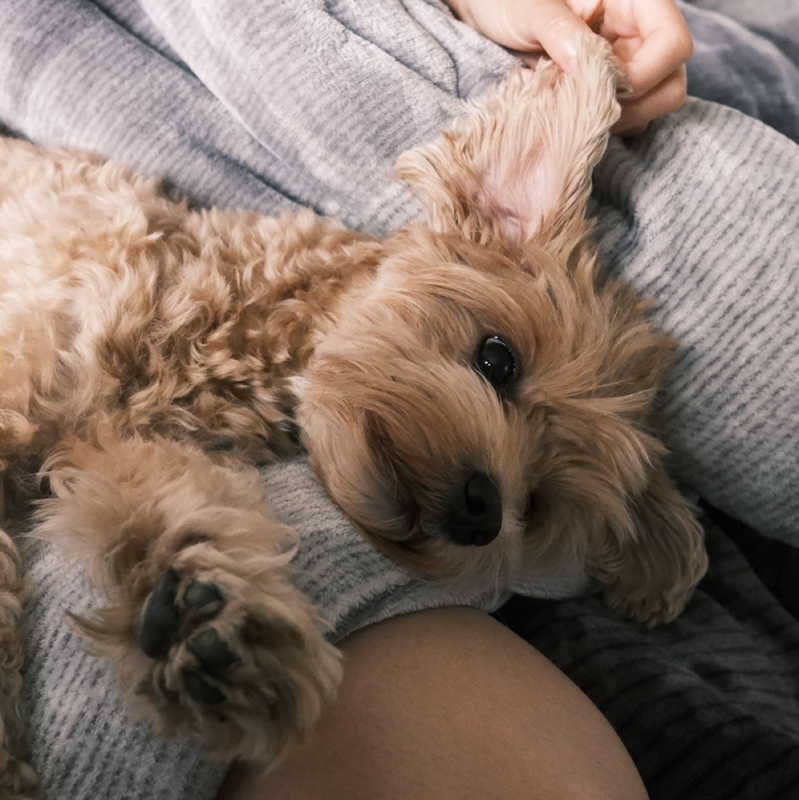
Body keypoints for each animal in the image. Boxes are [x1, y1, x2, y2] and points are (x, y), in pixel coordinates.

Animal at [0, 34, 708, 796]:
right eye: (497, 359)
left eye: (538, 502)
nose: (482, 510)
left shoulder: (123, 442)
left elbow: (176, 502)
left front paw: (210, 621)